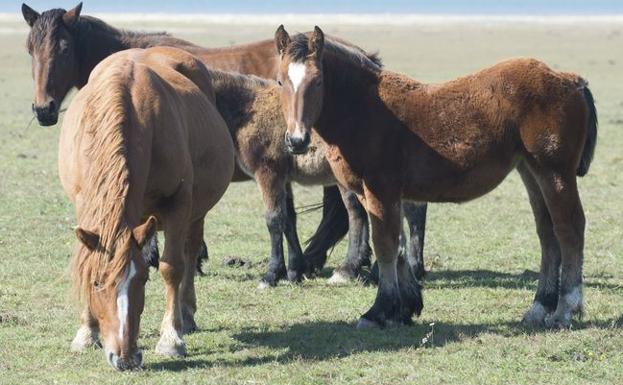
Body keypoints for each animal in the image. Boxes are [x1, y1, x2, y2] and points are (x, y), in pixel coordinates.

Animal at [23, 3, 434, 284]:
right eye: (31, 50)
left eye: (63, 48)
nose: (43, 109)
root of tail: (366, 59)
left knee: (358, 210)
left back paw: (355, 266)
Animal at [59, 46, 234, 368]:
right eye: (98, 283)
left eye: (141, 279)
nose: (125, 357)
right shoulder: (85, 204)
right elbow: (85, 261)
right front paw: (86, 332)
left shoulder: (178, 203)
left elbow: (171, 267)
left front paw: (170, 339)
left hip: (196, 212)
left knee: (190, 251)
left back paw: (185, 314)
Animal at [276, 25, 600, 328]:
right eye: (280, 81)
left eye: (318, 80)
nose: (297, 141)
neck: (366, 109)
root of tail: (570, 80)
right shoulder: (380, 195)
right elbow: (399, 244)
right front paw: (404, 308)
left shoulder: (381, 190)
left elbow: (386, 245)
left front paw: (379, 311)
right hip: (530, 171)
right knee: (547, 232)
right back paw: (538, 307)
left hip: (555, 172)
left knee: (569, 228)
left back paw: (565, 309)